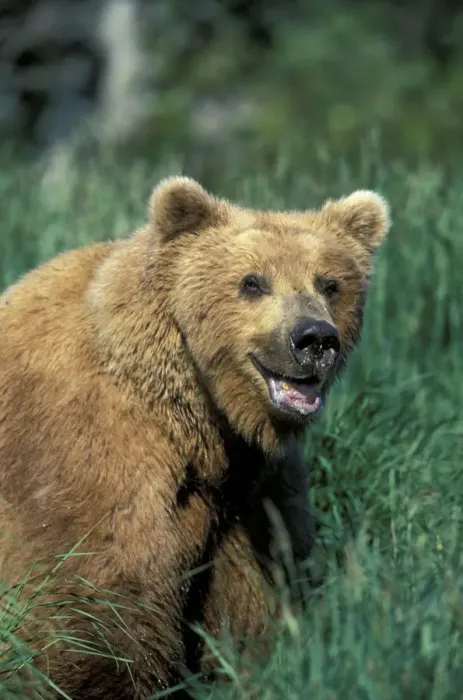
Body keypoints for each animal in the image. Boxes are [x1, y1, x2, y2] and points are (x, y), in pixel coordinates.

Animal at [0, 176, 390, 698]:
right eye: (252, 282)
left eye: (330, 284)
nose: (314, 339)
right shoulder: (90, 457)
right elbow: (91, 605)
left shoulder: (251, 495)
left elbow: (257, 599)